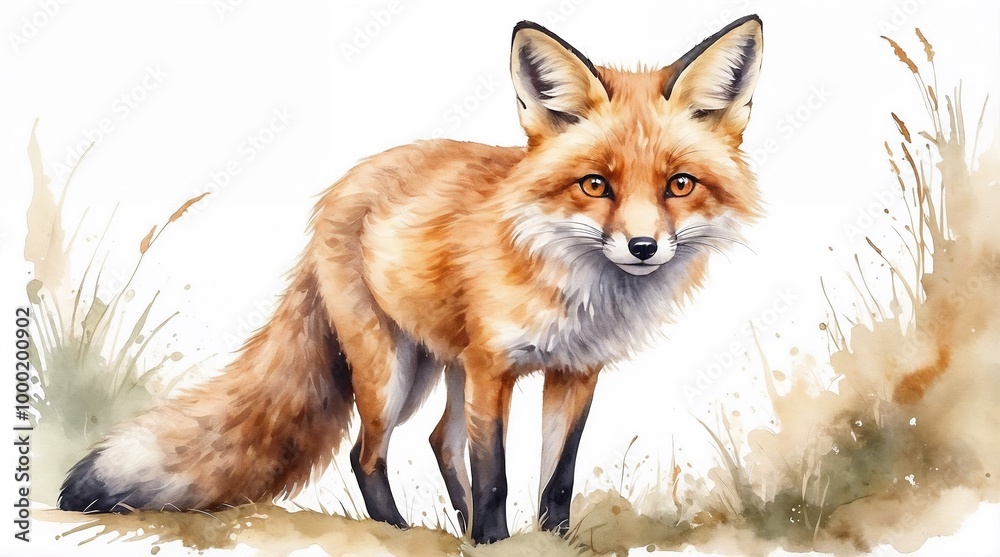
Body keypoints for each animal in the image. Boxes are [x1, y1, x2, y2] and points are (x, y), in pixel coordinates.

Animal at [59, 15, 763, 544]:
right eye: (596, 184)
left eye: (679, 184)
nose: (643, 247)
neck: (576, 289)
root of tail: (341, 188)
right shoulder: (492, 367)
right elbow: (495, 473)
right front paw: (493, 542)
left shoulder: (575, 371)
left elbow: (556, 478)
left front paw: (547, 541)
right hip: (391, 368)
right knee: (367, 454)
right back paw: (399, 532)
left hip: (438, 365)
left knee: (438, 442)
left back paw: (451, 531)